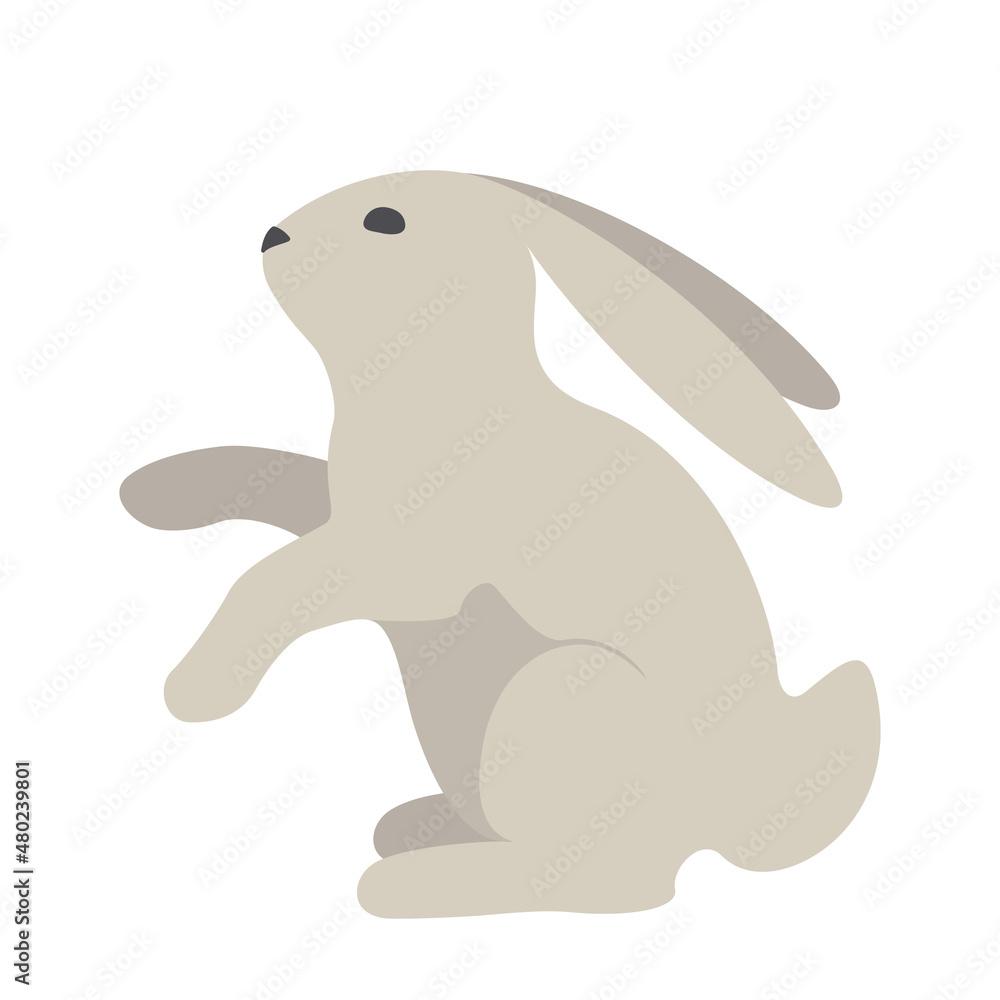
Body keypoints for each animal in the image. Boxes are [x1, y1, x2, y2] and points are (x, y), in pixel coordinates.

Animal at [120, 170, 880, 917]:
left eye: (386, 220)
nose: (271, 235)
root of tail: (734, 812)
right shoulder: (351, 519)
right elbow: (279, 486)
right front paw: (151, 493)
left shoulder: (412, 563)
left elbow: (271, 579)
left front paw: (197, 692)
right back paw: (413, 831)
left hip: (565, 691)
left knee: (613, 881)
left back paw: (408, 886)